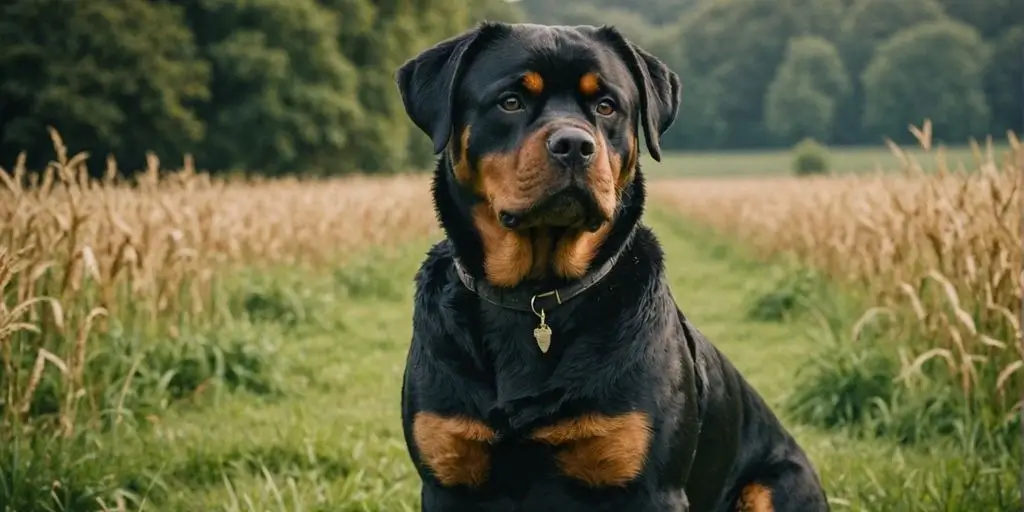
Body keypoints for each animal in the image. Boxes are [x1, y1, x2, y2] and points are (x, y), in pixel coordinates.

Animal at [395, 20, 827, 512]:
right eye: (511, 101)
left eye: (606, 106)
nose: (574, 145)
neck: (536, 294)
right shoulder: (448, 479)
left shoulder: (649, 487)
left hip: (772, 485)